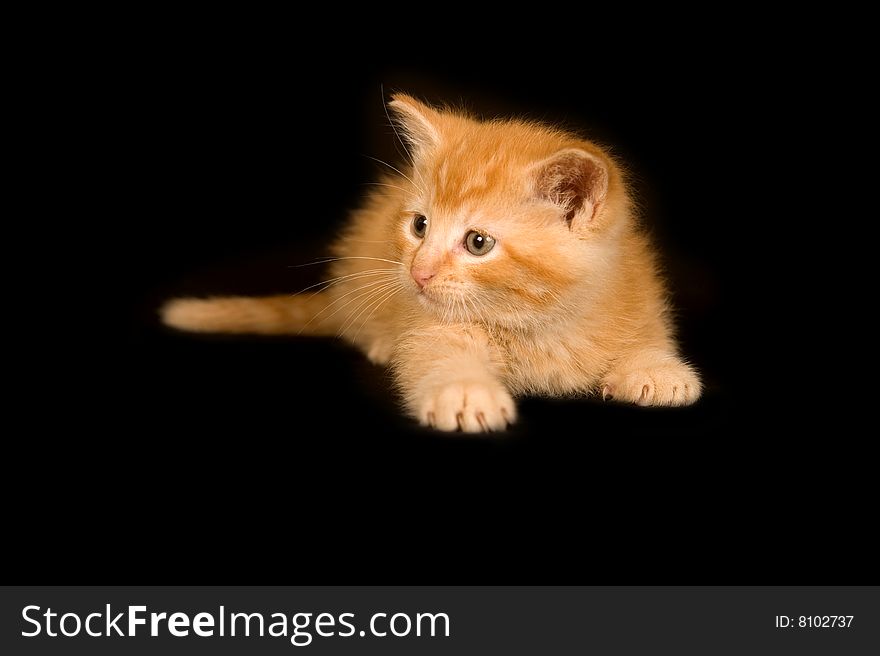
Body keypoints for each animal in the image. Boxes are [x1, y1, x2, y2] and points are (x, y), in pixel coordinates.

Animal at [163, 92, 700, 430]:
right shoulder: (431, 327)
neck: (539, 321)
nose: (418, 272)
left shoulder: (634, 286)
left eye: (478, 242)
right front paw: (465, 392)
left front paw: (657, 368)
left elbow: (648, 334)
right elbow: (437, 356)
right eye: (420, 226)